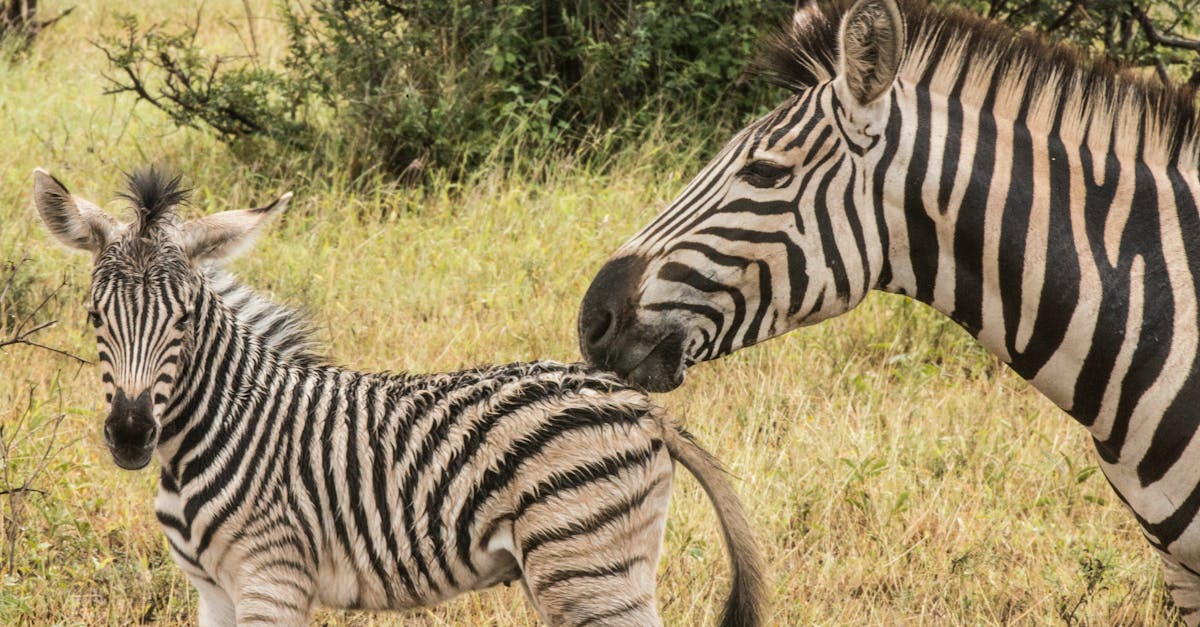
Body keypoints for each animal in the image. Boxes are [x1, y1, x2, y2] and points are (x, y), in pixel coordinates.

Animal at [32, 166, 765, 626]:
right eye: (94, 317)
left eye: (184, 320)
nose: (131, 434)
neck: (222, 425)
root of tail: (643, 406)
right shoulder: (212, 590)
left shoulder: (272, 578)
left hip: (589, 569)